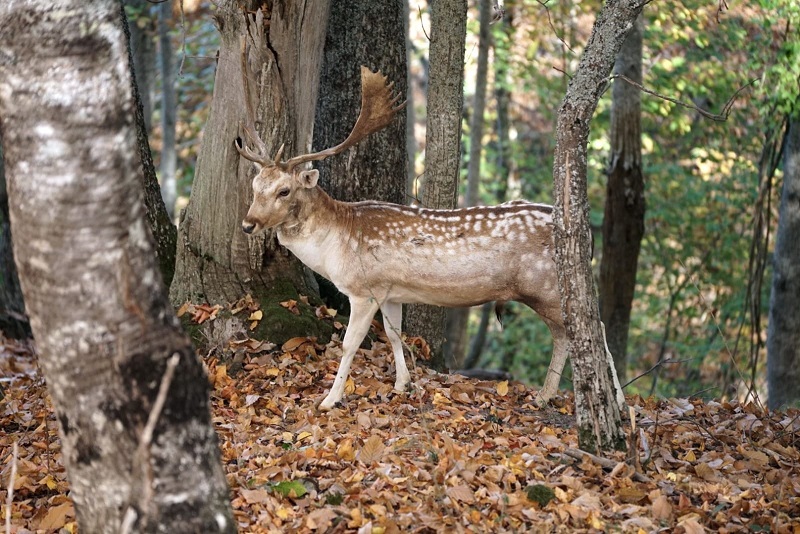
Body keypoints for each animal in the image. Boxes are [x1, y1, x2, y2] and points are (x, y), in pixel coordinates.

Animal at [236, 50, 568, 412]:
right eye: (255, 185)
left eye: (284, 191)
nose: (248, 223)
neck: (335, 244)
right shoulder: (389, 291)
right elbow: (394, 334)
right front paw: (402, 384)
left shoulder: (364, 289)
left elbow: (350, 344)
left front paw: (330, 399)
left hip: (547, 288)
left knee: (576, 334)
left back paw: (549, 397)